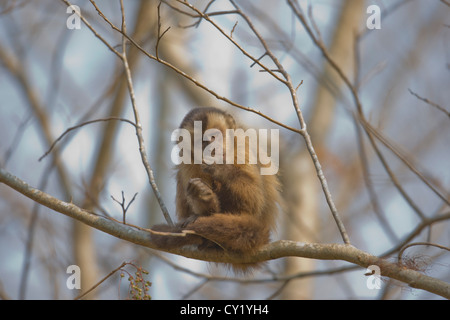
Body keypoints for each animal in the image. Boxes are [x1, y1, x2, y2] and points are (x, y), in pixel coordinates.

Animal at [149, 107, 280, 272]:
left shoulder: (241, 147)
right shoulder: (188, 159)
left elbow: (253, 201)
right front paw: (201, 197)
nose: (211, 148)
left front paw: (220, 168)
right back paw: (205, 202)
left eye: (214, 136)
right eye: (201, 141)